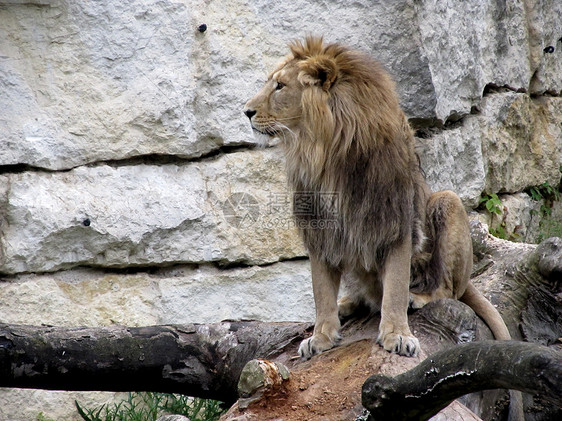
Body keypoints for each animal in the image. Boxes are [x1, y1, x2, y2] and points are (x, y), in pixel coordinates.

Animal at [241, 37, 512, 360]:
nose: (245, 111)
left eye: (280, 86)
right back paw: (347, 304)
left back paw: (418, 297)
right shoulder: (319, 228)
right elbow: (321, 290)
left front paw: (397, 335)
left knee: (448, 290)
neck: (323, 151)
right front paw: (321, 337)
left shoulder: (394, 221)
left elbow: (394, 286)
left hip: (448, 202)